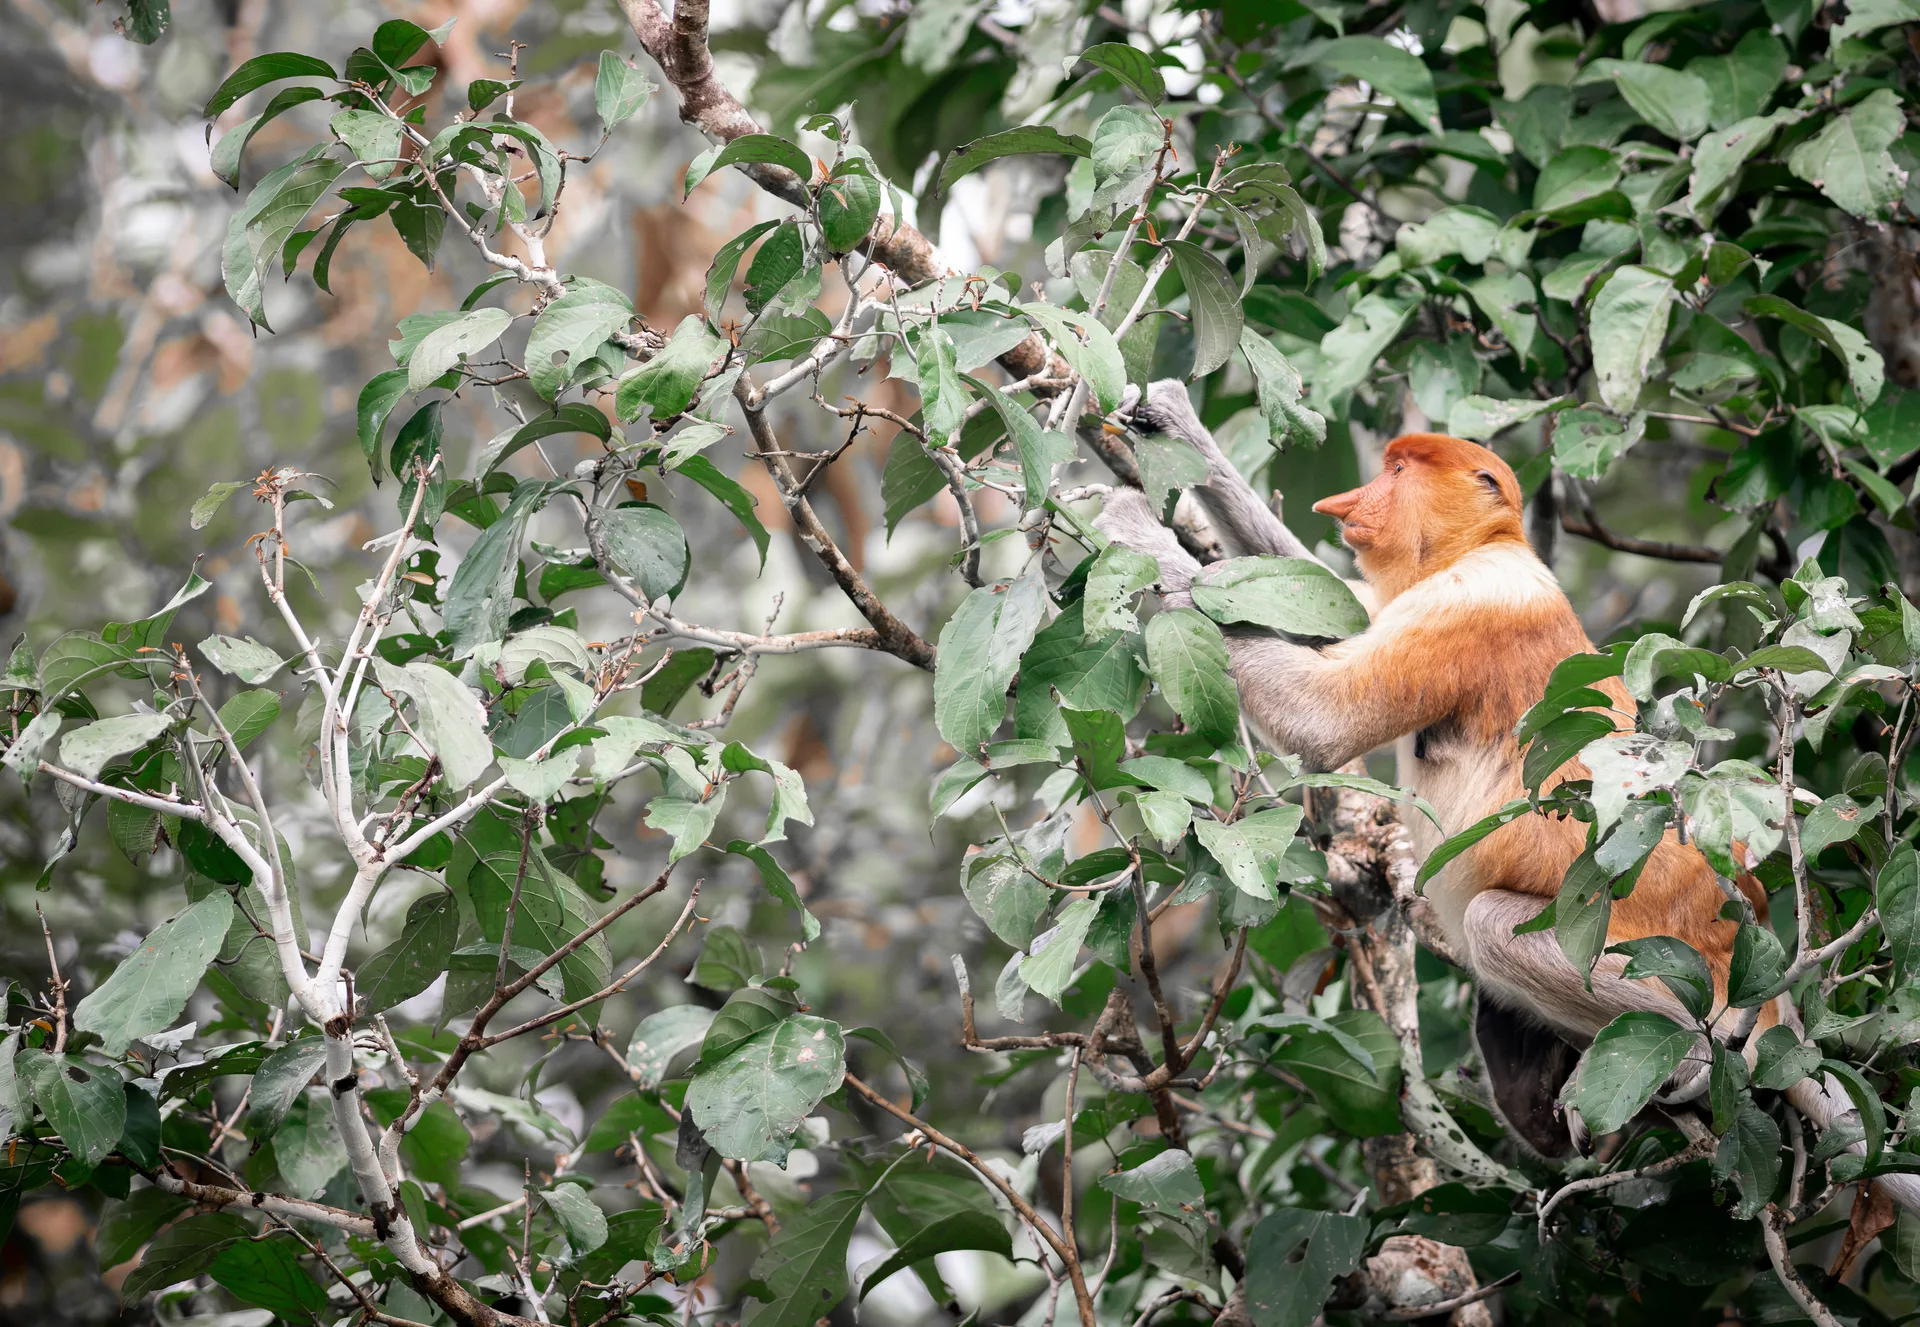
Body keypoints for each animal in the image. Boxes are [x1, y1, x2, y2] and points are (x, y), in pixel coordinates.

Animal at [1098, 381, 1911, 1195]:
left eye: (1399, 470)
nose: (1349, 502)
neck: (1491, 544)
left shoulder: (1470, 600)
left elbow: (1323, 718)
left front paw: (1129, 523)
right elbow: (1323, 598)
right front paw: (1173, 423)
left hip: (1659, 955)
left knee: (1494, 923)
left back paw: (1683, 1055)